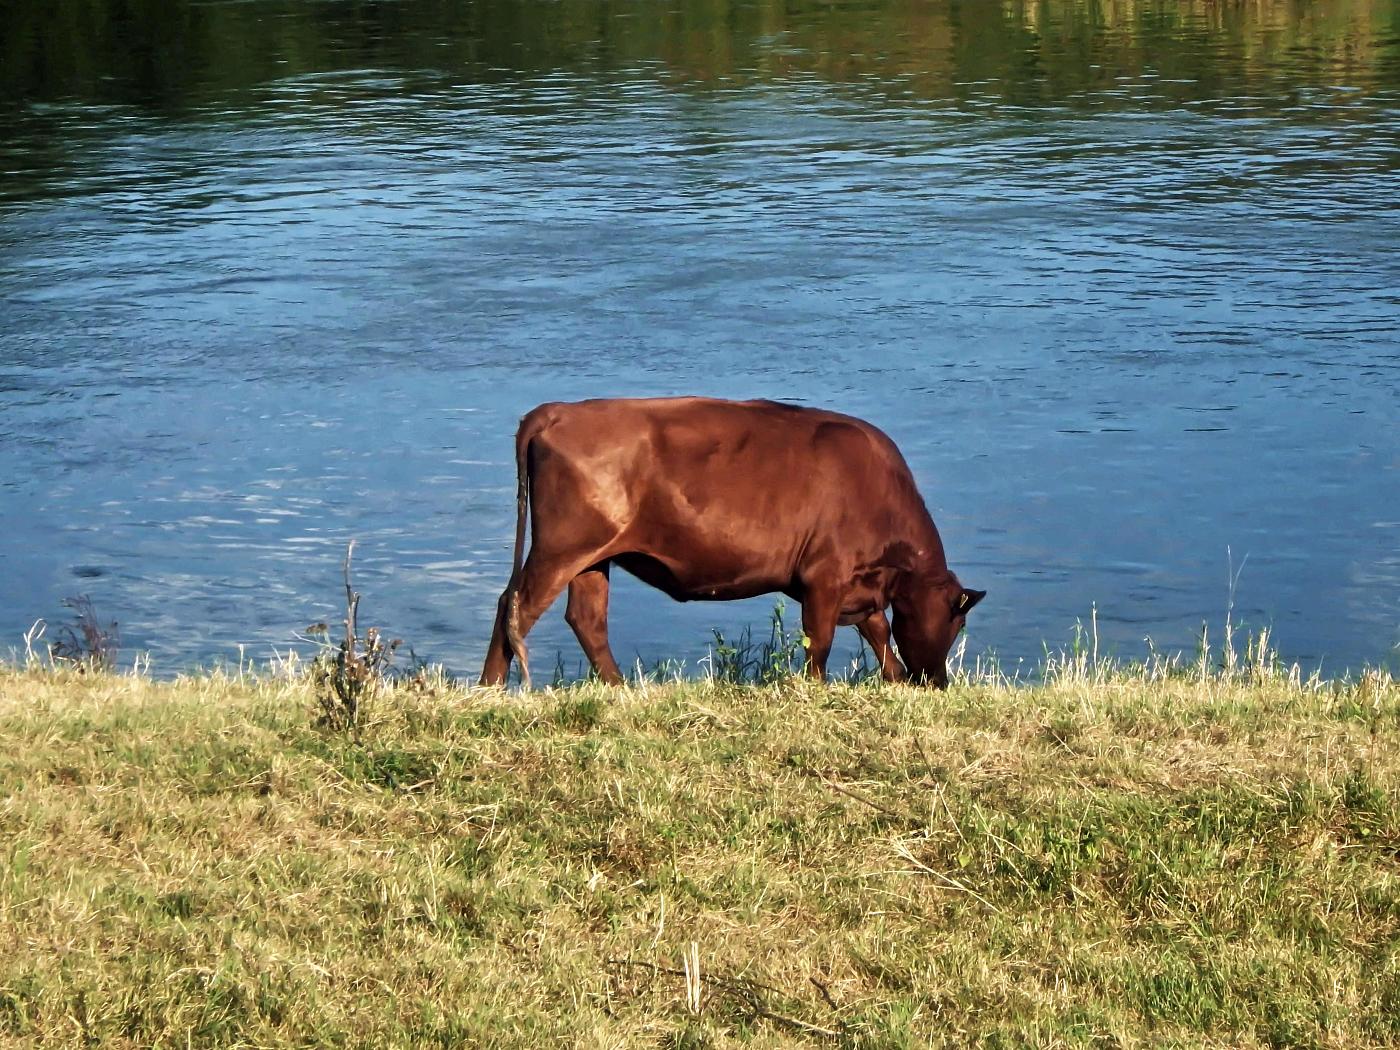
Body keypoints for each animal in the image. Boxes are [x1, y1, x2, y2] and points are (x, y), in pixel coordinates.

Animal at [481, 397, 985, 686]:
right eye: (956, 622)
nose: (937, 682)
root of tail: (559, 410)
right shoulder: (824, 575)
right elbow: (820, 642)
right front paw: (813, 689)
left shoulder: (861, 585)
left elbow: (878, 631)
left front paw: (895, 678)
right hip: (561, 548)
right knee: (516, 604)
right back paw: (492, 688)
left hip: (593, 557)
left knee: (585, 618)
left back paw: (619, 689)